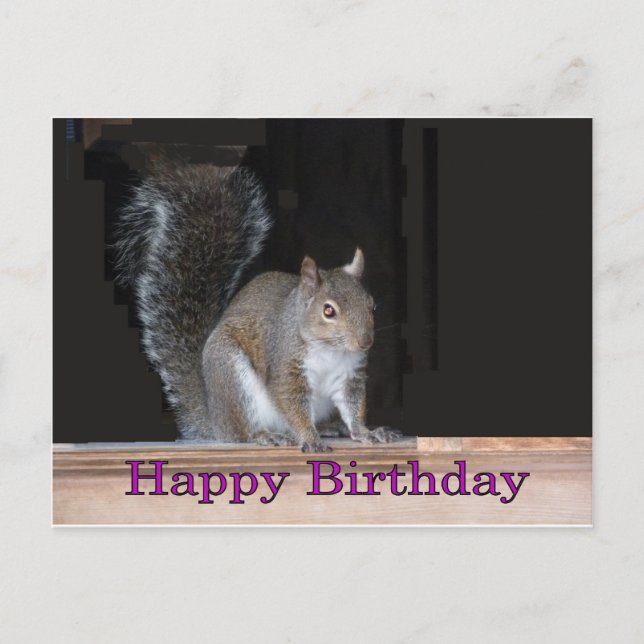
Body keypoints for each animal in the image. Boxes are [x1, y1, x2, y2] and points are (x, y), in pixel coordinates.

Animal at [115, 151, 400, 452]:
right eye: (328, 310)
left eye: (372, 306)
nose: (365, 342)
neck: (330, 349)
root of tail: (217, 420)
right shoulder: (286, 364)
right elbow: (292, 404)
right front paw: (310, 439)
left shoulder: (350, 374)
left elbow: (353, 406)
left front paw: (365, 432)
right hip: (234, 378)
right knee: (243, 433)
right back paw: (267, 435)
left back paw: (330, 428)